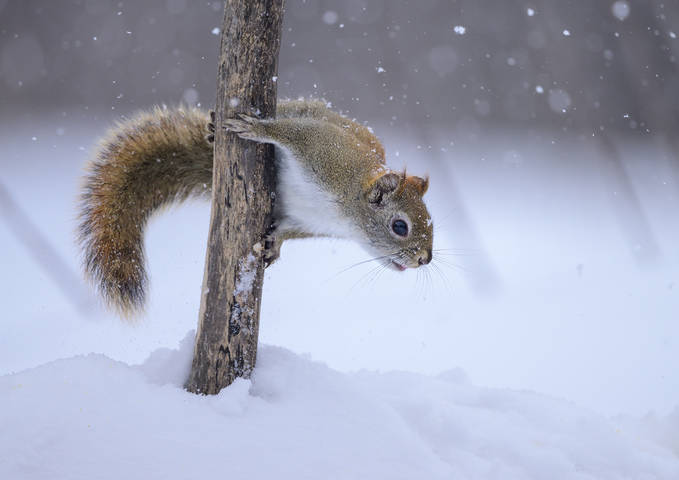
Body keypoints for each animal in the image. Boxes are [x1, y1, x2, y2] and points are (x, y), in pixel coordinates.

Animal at [78, 99, 433, 315]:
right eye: (400, 226)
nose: (424, 259)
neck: (345, 211)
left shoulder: (308, 221)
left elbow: (288, 231)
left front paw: (274, 246)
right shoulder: (325, 152)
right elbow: (291, 132)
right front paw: (257, 129)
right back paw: (213, 130)